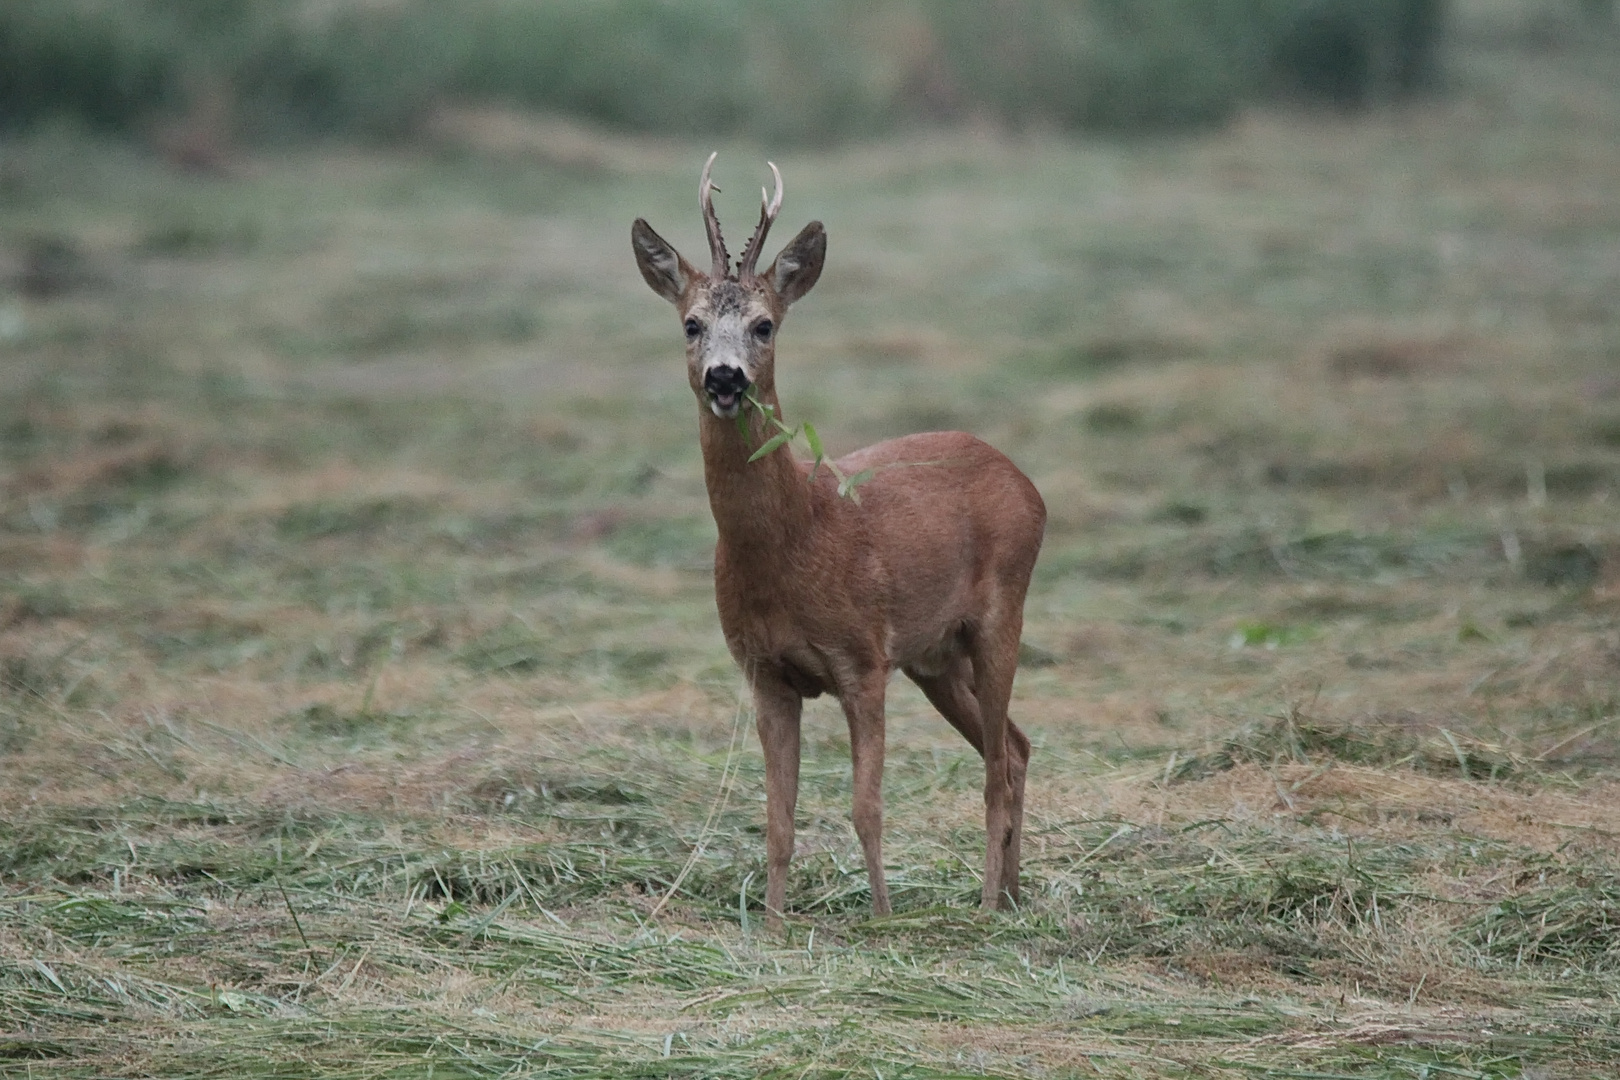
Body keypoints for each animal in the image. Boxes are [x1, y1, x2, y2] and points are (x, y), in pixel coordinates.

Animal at [625, 152, 1043, 932]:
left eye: (764, 325)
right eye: (692, 323)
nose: (725, 377)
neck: (796, 541)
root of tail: (1024, 479)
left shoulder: (863, 659)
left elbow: (865, 808)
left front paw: (880, 920)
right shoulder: (764, 671)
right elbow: (777, 817)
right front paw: (773, 925)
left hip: (1003, 610)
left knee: (998, 766)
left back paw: (985, 906)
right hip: (936, 657)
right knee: (1016, 747)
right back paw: (1012, 896)